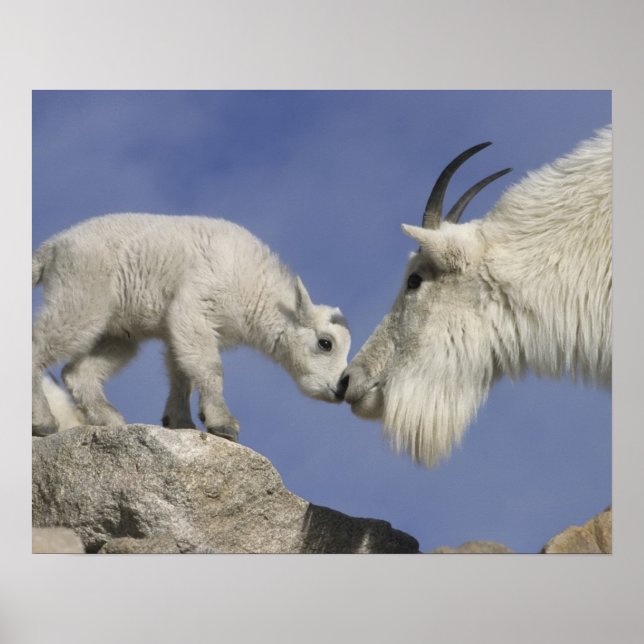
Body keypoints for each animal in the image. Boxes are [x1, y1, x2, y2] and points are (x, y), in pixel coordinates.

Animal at [32, 215, 351, 439]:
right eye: (326, 343)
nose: (340, 389)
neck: (257, 290)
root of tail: (52, 247)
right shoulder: (196, 307)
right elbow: (209, 366)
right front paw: (223, 423)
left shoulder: (178, 325)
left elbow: (181, 372)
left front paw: (180, 422)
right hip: (82, 292)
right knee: (42, 343)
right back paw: (43, 421)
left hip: (119, 330)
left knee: (77, 372)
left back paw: (110, 419)